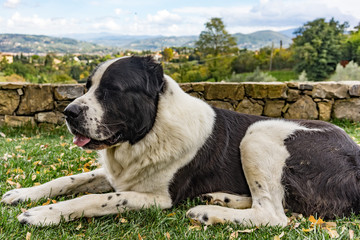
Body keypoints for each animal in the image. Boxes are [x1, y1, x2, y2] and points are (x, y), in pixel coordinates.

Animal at [2, 55, 360, 226]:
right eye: (87, 86)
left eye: (112, 90)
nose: (69, 112)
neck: (148, 132)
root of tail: (356, 157)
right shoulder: (117, 176)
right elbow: (69, 180)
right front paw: (22, 194)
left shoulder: (158, 198)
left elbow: (94, 199)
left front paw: (43, 215)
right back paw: (222, 199)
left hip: (259, 134)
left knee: (273, 215)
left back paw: (207, 212)